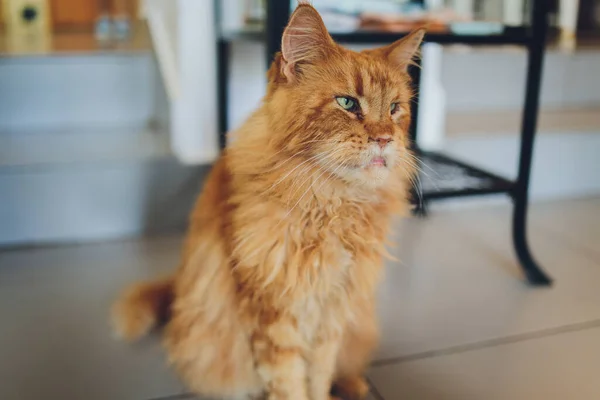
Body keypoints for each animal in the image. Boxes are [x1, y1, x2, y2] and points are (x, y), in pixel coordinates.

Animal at [111, 3, 422, 400]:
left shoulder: (334, 311)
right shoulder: (272, 315)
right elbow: (290, 384)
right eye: (347, 103)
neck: (331, 206)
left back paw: (356, 386)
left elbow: (319, 376)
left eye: (395, 108)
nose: (385, 139)